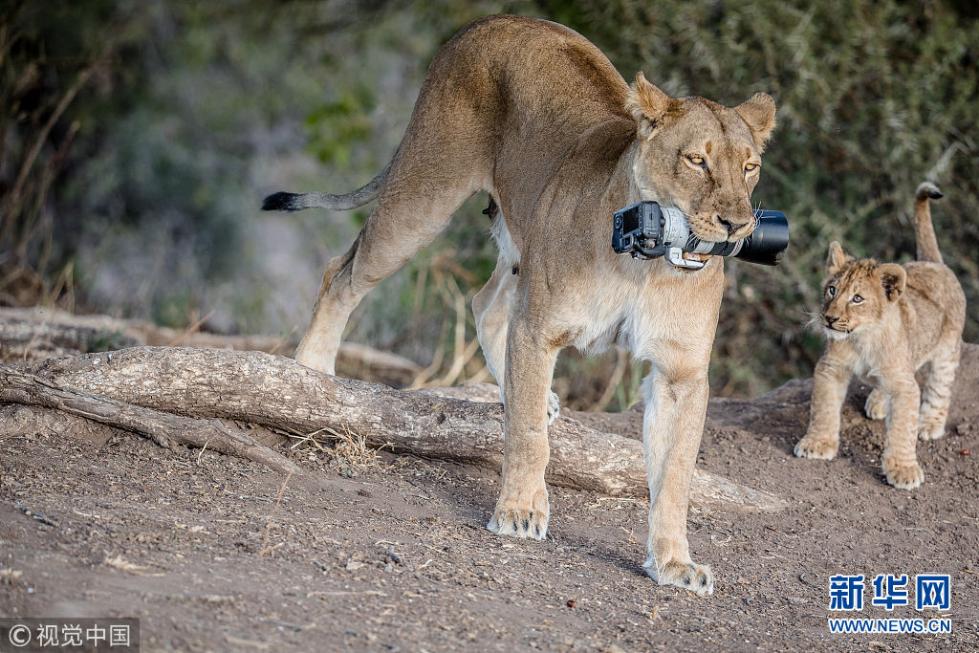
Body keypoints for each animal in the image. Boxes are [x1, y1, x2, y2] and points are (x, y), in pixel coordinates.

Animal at [264, 15, 777, 596]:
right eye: (696, 160)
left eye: (750, 166)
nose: (738, 224)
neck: (644, 263)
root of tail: (489, 21)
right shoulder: (539, 327)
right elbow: (529, 433)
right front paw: (520, 511)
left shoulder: (681, 372)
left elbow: (675, 474)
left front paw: (673, 562)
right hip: (422, 197)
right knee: (342, 272)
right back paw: (312, 372)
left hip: (517, 239)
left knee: (484, 303)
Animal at [795, 182, 965, 489]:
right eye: (831, 290)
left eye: (857, 299)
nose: (830, 318)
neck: (864, 338)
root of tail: (934, 263)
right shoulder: (831, 368)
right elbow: (824, 409)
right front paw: (817, 443)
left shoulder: (905, 386)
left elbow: (902, 429)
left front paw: (904, 470)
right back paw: (878, 402)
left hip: (947, 351)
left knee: (940, 389)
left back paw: (929, 424)